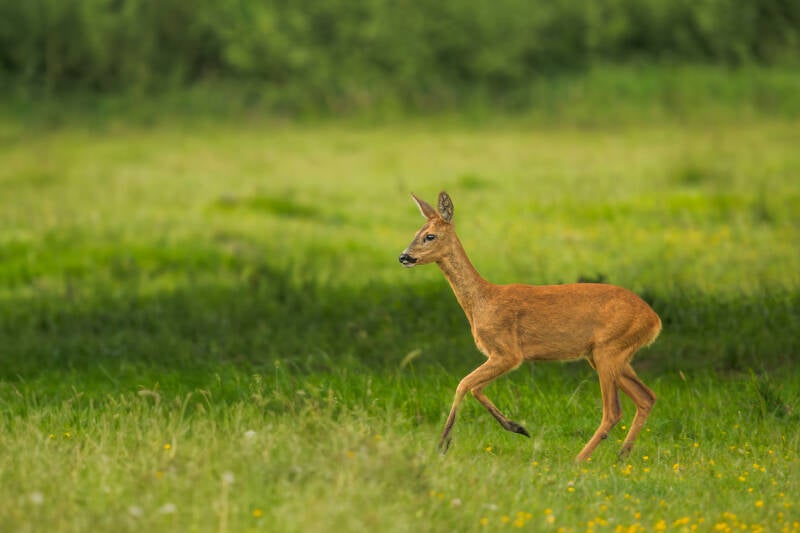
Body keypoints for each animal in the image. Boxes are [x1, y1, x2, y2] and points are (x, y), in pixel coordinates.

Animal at [398, 191, 661, 461]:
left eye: (430, 236)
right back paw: (622, 454)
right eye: (416, 232)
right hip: (607, 355)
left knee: (613, 410)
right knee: (646, 397)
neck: (483, 301)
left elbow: (464, 384)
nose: (404, 257)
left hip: (609, 349)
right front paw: (517, 427)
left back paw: (579, 460)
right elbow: (475, 387)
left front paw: (443, 444)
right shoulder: (499, 355)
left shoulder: (509, 352)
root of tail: (654, 320)